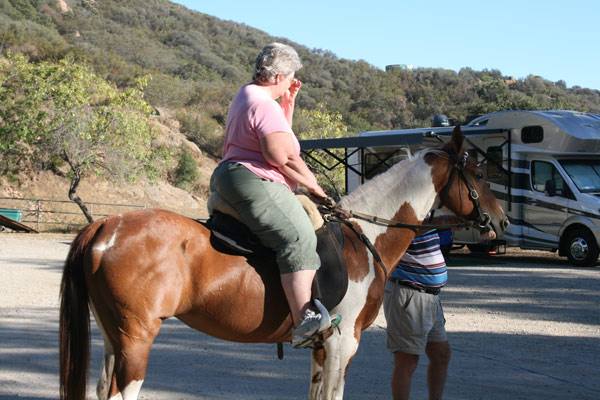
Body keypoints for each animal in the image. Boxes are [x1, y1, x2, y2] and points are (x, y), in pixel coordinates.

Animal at [58, 127, 506, 400]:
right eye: (480, 173)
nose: (501, 220)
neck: (364, 237)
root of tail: (106, 225)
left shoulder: (323, 348)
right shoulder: (343, 344)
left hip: (114, 339)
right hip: (136, 340)